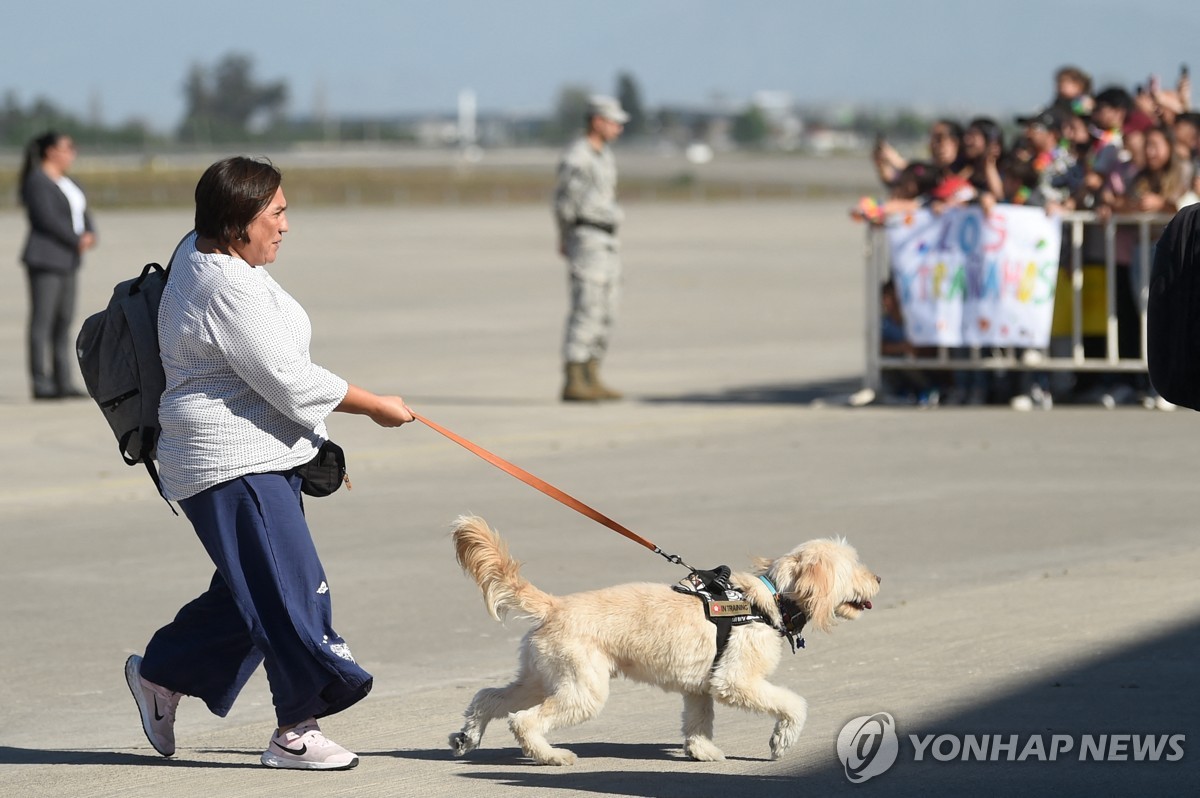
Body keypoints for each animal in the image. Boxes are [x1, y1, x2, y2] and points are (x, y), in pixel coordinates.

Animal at [446, 513, 878, 763]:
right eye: (854, 566)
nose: (877, 578)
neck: (769, 598)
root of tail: (555, 606)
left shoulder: (701, 686)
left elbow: (699, 721)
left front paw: (702, 751)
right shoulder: (735, 681)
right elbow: (793, 704)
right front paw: (781, 741)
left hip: (542, 677)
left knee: (490, 697)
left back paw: (468, 736)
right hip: (582, 689)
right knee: (523, 720)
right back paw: (550, 756)